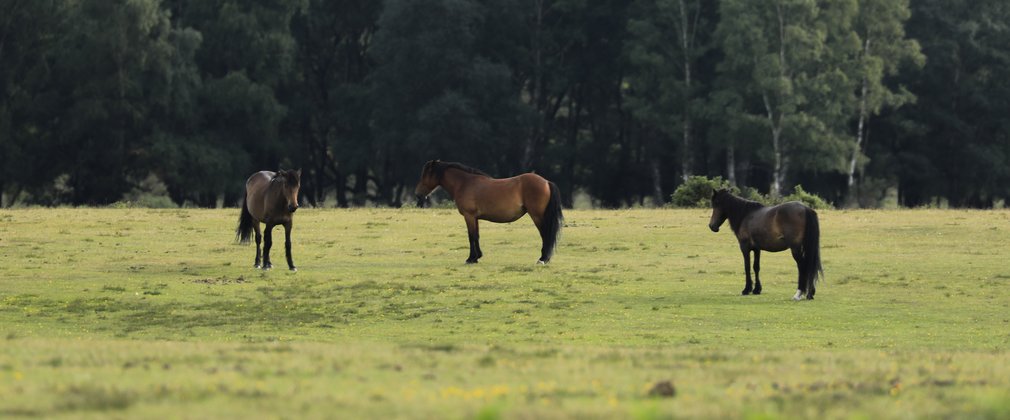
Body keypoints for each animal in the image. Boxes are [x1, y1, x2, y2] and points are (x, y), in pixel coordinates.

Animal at [414, 159, 565, 264]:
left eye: (425, 175)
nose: (417, 194)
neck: (465, 183)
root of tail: (546, 182)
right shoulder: (475, 218)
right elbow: (476, 236)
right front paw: (477, 257)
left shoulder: (469, 216)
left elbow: (471, 236)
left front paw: (470, 259)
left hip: (537, 216)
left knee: (545, 234)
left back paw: (543, 259)